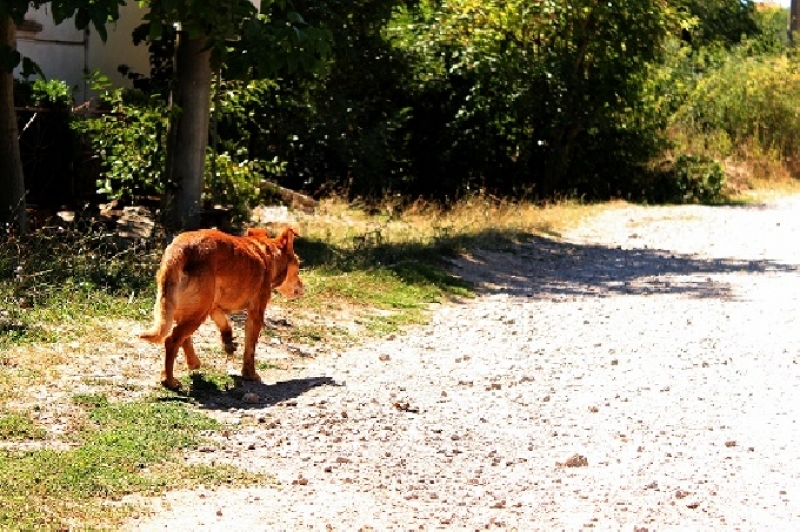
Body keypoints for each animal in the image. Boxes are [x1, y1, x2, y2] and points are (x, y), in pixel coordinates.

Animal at [139, 227, 304, 388]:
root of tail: (179, 248)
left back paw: (191, 364)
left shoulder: (214, 306)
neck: (266, 255)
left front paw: (228, 343)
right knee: (171, 340)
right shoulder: (255, 314)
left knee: (182, 338)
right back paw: (170, 380)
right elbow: (250, 349)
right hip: (197, 313)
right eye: (298, 266)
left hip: (187, 308)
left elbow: (224, 323)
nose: (304, 287)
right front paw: (250, 374)